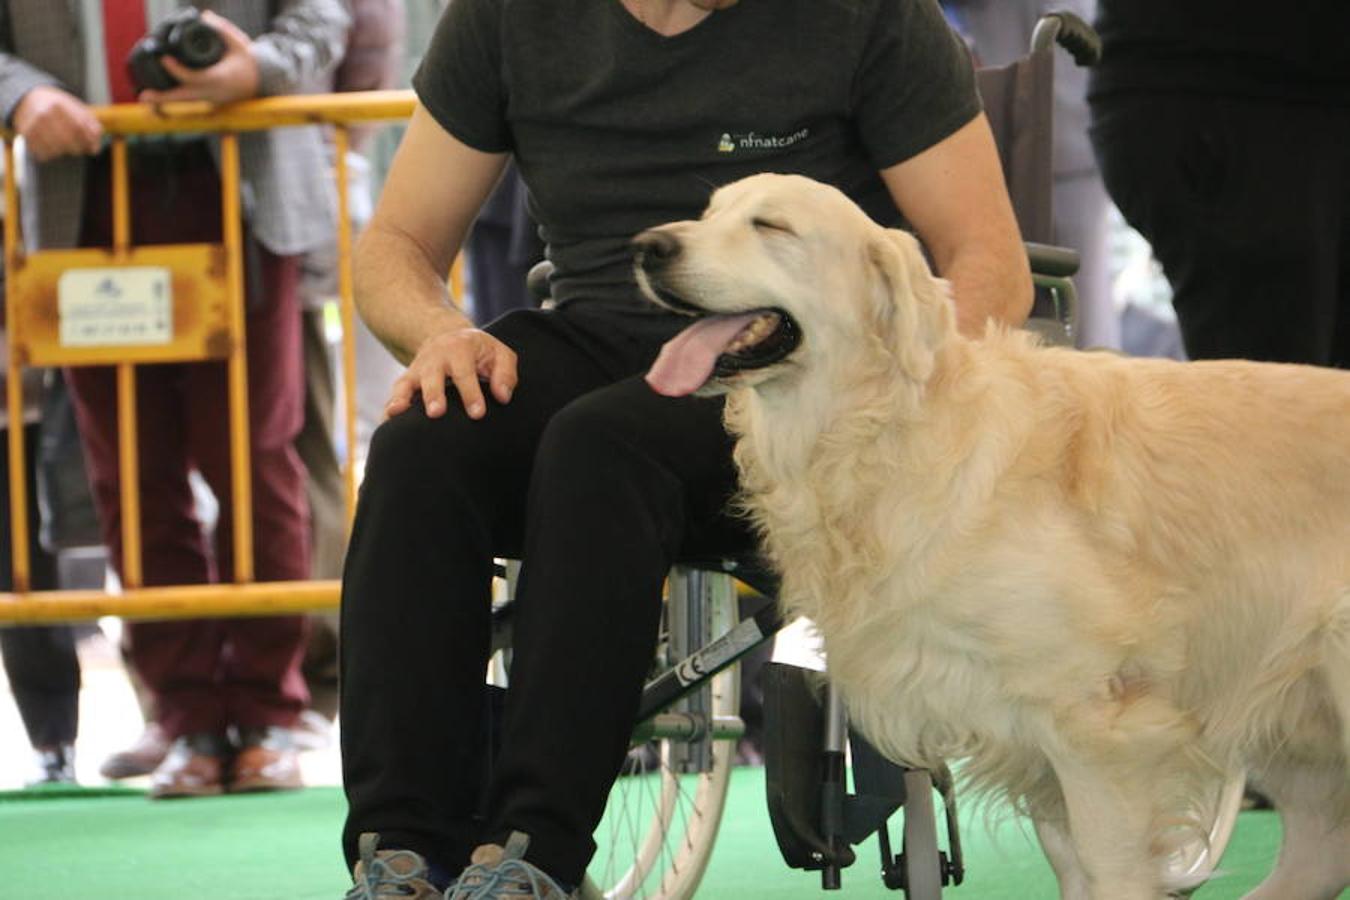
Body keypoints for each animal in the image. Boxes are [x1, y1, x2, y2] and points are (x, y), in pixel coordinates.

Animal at [631, 174, 1350, 900]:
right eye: (707, 214)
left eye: (771, 226)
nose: (648, 247)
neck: (889, 426)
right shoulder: (1037, 744)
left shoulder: (1098, 728)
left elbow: (1111, 868)